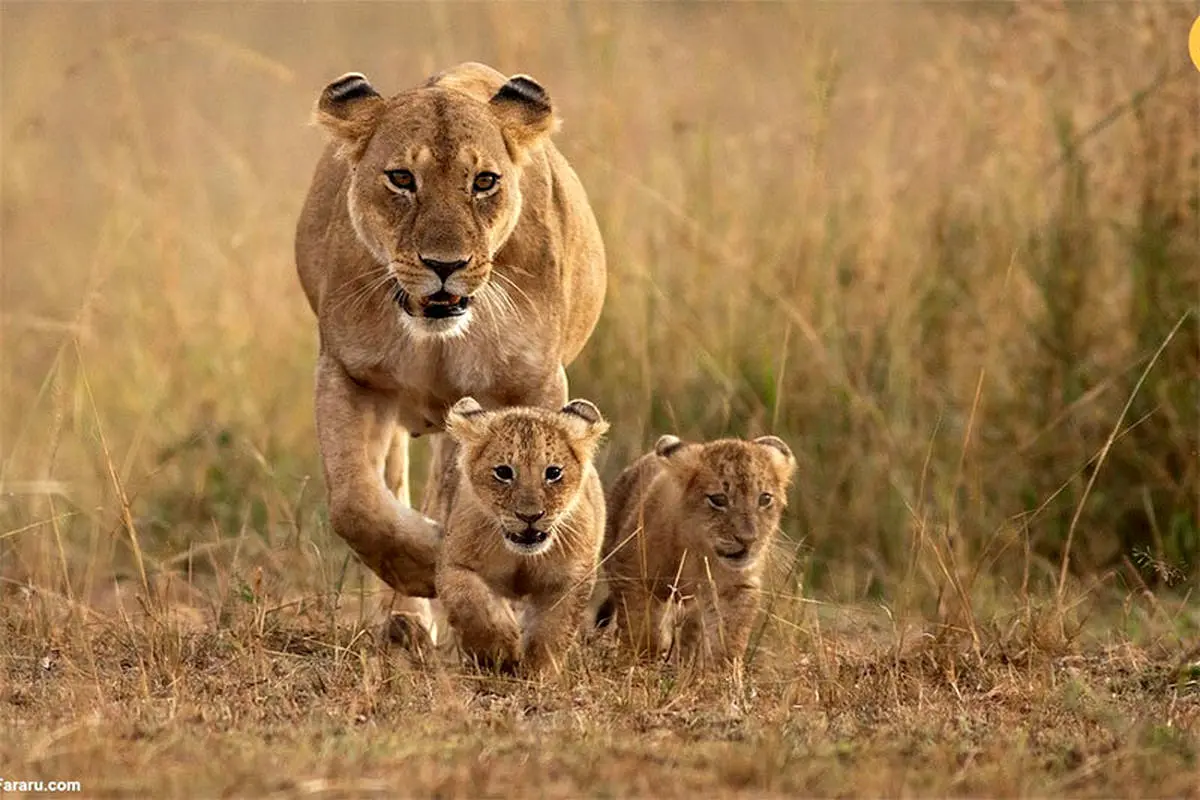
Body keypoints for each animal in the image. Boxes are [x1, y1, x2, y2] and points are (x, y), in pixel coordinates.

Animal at [291, 62, 609, 633]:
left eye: (484, 181)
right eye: (401, 178)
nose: (446, 265)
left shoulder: (531, 384)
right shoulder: (349, 372)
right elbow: (355, 502)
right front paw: (423, 569)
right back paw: (405, 620)